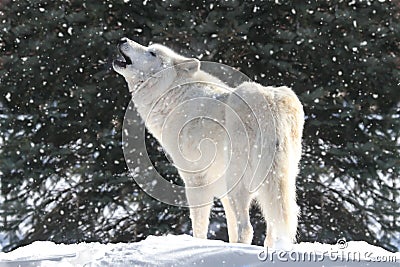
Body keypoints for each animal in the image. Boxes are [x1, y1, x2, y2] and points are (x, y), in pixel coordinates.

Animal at [114, 38, 304, 251]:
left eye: (152, 53)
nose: (123, 40)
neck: (173, 97)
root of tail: (269, 100)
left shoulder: (195, 181)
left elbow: (199, 226)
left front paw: (198, 246)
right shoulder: (222, 191)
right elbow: (230, 228)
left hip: (239, 182)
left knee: (247, 228)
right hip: (272, 184)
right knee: (271, 228)